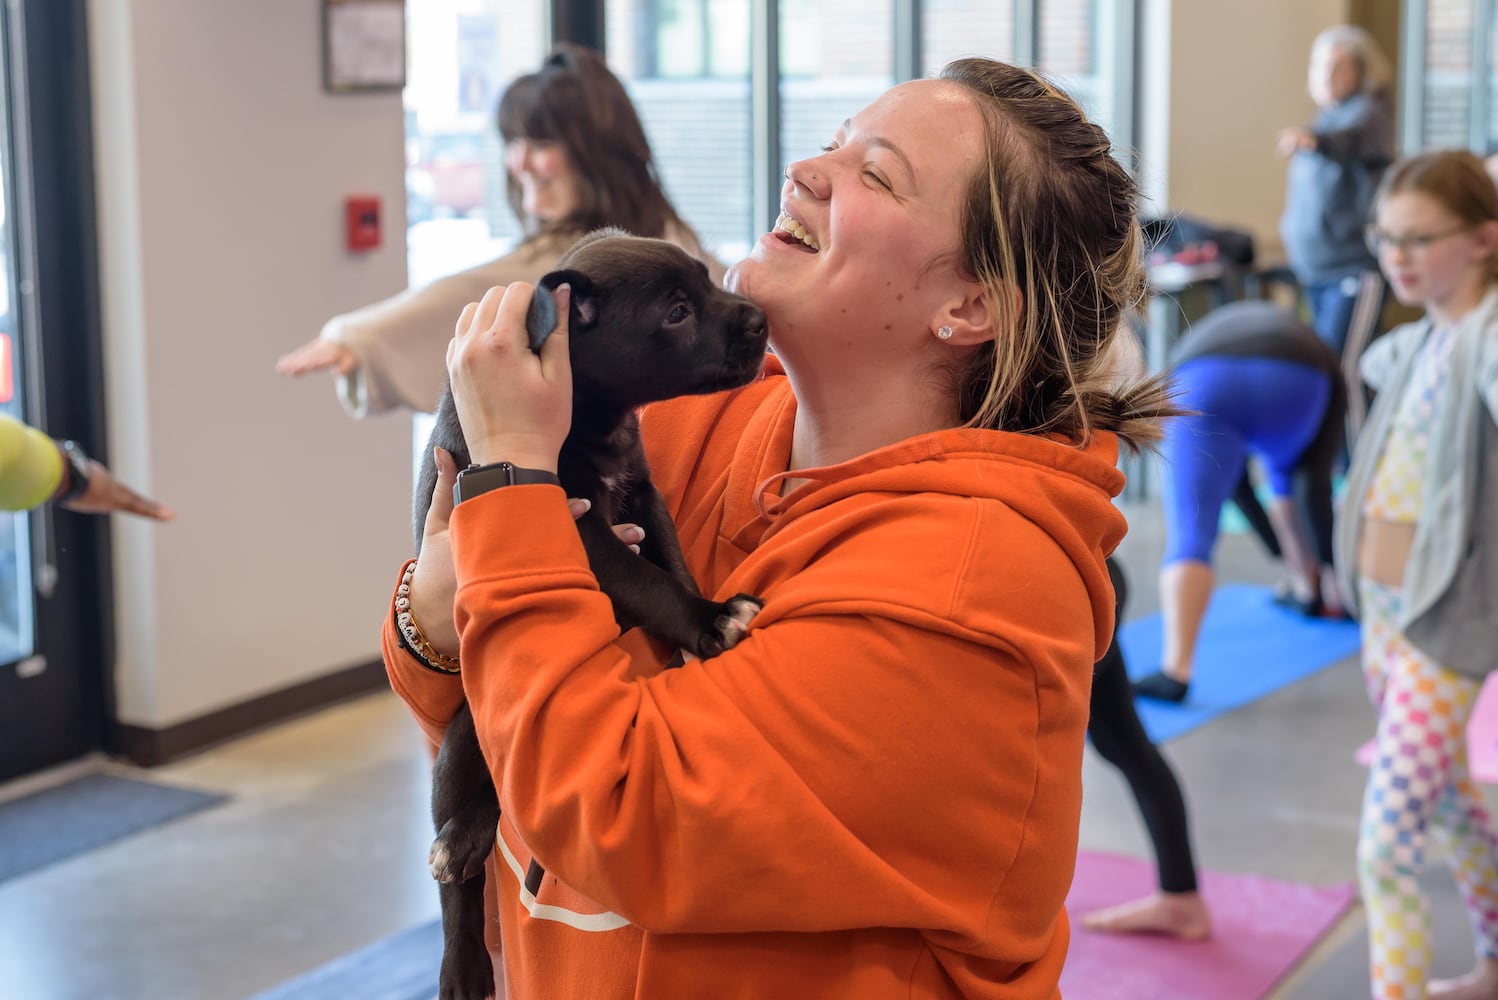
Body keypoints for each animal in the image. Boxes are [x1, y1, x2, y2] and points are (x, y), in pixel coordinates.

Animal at [413, 229, 772, 999]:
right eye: (675, 312)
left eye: (705, 282)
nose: (759, 319)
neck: (595, 417)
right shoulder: (580, 529)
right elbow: (647, 580)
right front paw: (711, 620)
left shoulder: (643, 494)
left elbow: (670, 561)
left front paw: (700, 624)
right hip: (458, 741)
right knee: (465, 861)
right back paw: (461, 928)